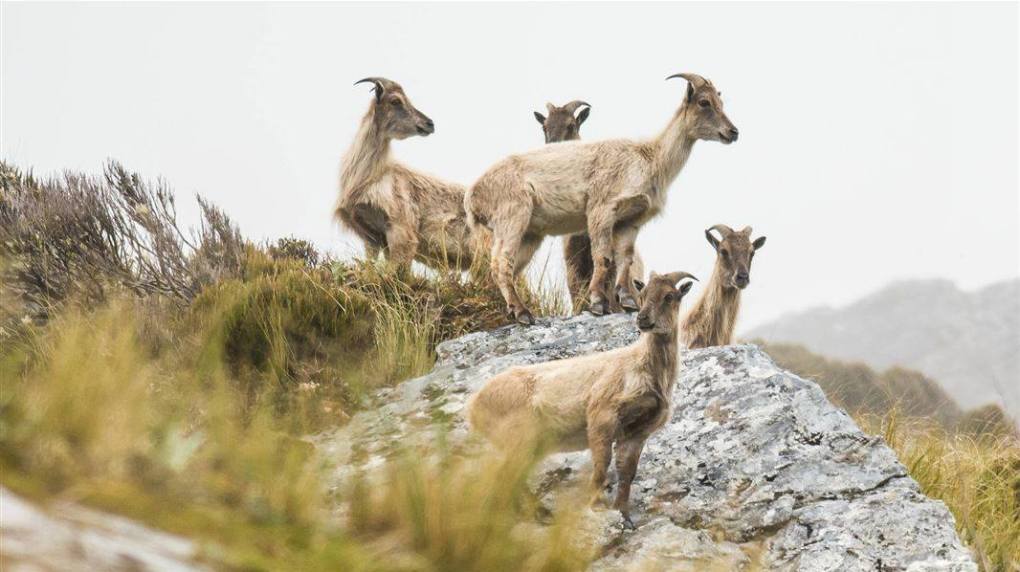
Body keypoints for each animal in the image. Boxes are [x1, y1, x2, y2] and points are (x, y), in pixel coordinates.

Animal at [466, 271, 697, 523]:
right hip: (519, 437)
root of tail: (474, 406)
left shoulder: (637, 432)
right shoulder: (602, 416)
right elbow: (601, 466)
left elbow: (626, 472)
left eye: (669, 296)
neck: (645, 367)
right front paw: (595, 505)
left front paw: (624, 514)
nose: (642, 319)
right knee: (505, 478)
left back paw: (538, 513)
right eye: (643, 293)